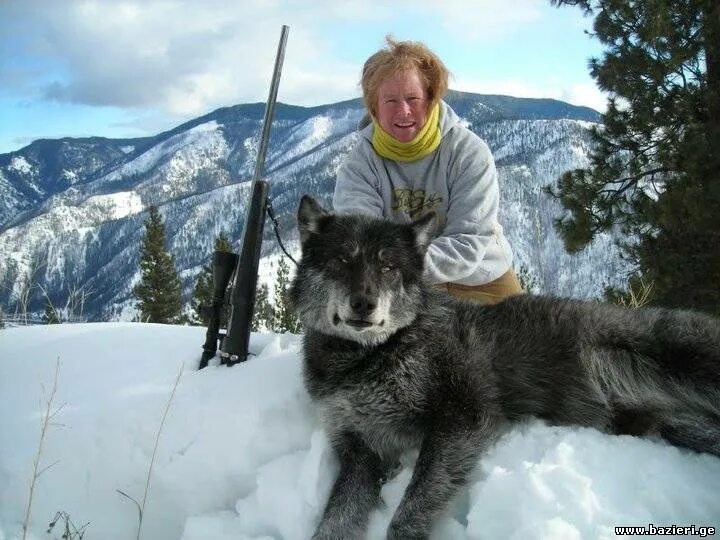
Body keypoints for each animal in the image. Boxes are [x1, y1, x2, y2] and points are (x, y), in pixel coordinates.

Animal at [288, 195, 720, 540]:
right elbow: (334, 520)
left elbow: (408, 511)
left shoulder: (464, 416)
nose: (364, 304)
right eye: (341, 260)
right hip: (676, 426)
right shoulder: (361, 451)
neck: (369, 359)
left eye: (389, 267)